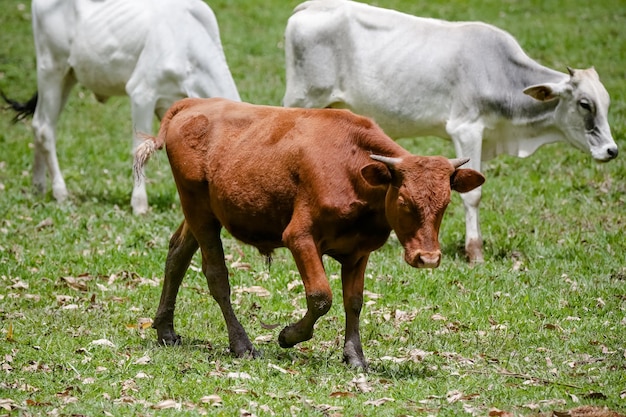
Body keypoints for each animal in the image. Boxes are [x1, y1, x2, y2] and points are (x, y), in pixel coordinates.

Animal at [4, 0, 239, 214]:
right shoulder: (142, 92)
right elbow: (141, 149)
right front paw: (139, 205)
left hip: (68, 76)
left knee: (39, 123)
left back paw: (38, 187)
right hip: (51, 68)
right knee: (45, 127)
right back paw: (60, 191)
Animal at [132, 97, 482, 368]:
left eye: (445, 203)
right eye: (405, 201)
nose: (428, 257)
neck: (351, 168)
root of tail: (194, 103)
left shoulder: (359, 252)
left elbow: (353, 301)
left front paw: (355, 355)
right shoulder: (299, 237)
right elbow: (321, 296)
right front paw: (288, 335)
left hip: (202, 213)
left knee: (177, 255)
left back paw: (165, 330)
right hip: (200, 211)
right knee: (216, 275)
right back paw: (241, 344)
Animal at [282, 0, 616, 262]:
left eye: (607, 102)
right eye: (584, 104)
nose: (611, 150)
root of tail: (308, 7)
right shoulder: (465, 129)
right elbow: (473, 194)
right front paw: (475, 252)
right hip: (302, 99)